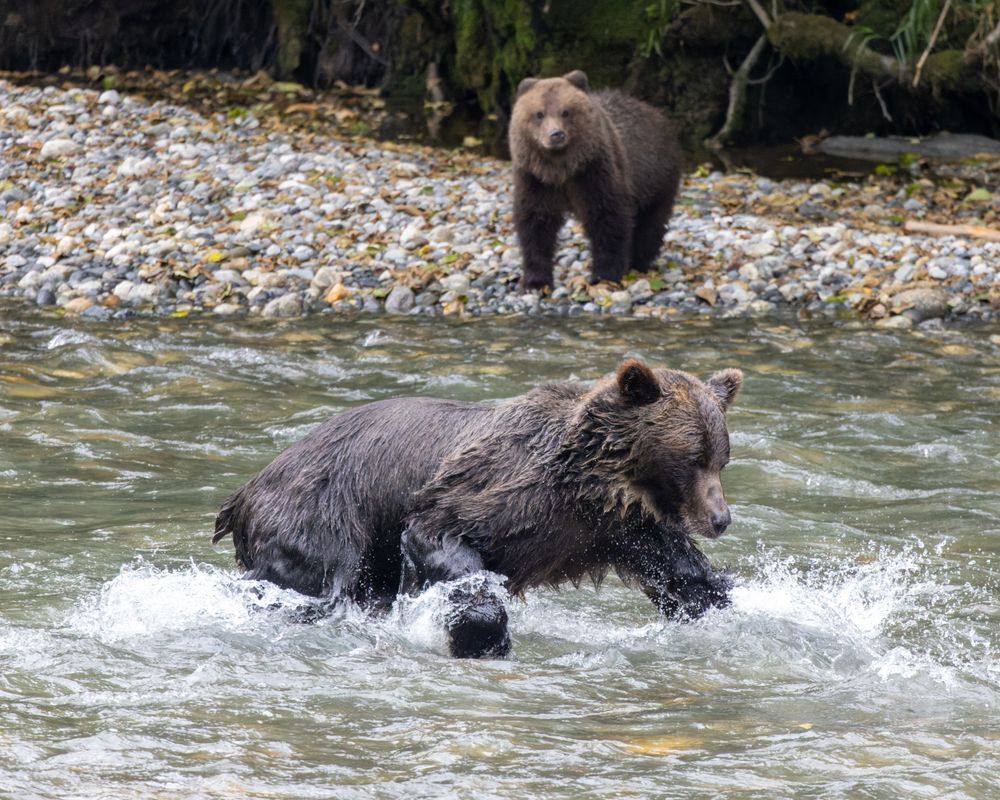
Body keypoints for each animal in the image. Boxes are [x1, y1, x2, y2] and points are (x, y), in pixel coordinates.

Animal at [213, 359, 742, 658]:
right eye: (692, 458)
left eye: (722, 458)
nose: (720, 519)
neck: (592, 482)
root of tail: (243, 491)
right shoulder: (502, 491)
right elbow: (441, 536)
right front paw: (485, 638)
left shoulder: (619, 528)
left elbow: (683, 576)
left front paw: (721, 608)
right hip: (321, 516)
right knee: (310, 583)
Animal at [509, 70, 683, 290]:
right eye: (539, 114)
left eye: (566, 112)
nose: (556, 134)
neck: (561, 170)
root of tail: (656, 113)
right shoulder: (536, 179)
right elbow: (536, 223)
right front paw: (536, 280)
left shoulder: (594, 171)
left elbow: (607, 217)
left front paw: (604, 274)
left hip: (656, 178)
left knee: (651, 221)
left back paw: (638, 261)